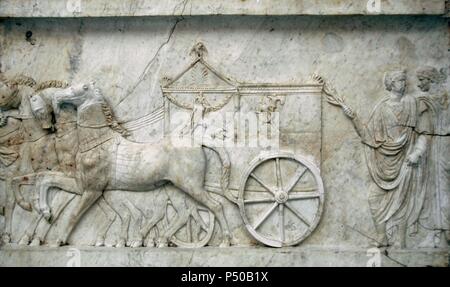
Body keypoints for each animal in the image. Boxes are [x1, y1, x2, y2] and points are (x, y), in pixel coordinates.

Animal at [39, 82, 232, 248]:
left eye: (83, 87)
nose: (57, 97)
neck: (96, 143)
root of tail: (196, 141)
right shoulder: (81, 184)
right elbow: (46, 178)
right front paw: (46, 212)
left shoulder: (92, 189)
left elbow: (73, 214)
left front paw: (59, 239)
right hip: (176, 190)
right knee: (183, 214)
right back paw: (156, 240)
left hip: (191, 186)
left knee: (216, 206)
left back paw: (224, 241)